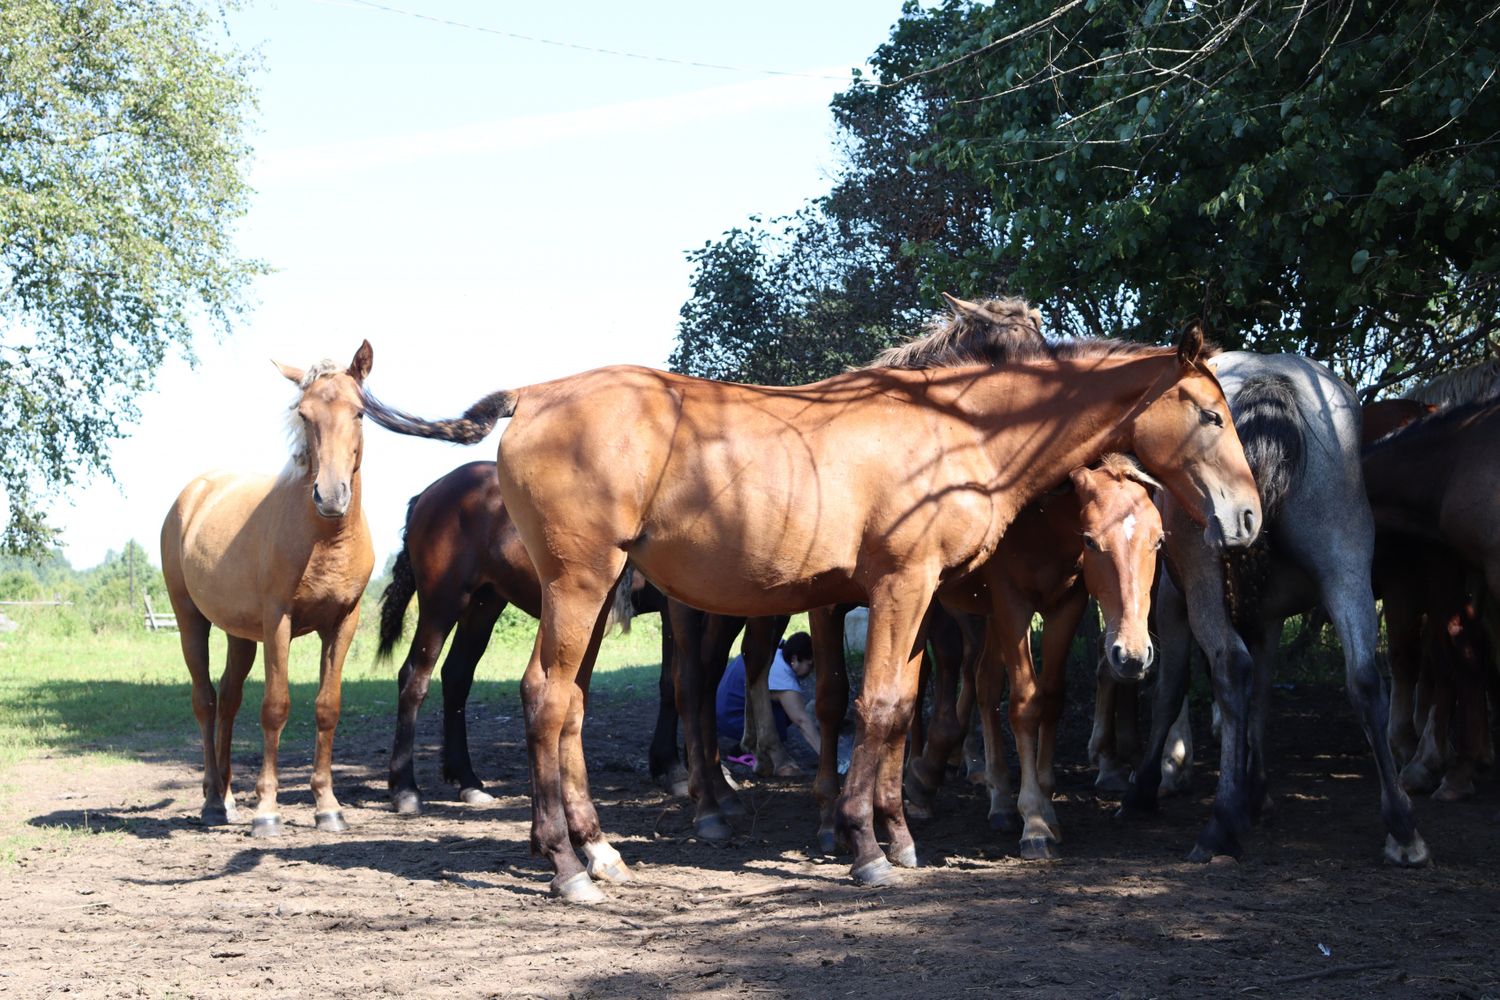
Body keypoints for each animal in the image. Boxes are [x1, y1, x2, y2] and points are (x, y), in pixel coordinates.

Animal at [159, 344, 375, 839]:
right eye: (303, 414)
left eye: (359, 412)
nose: (330, 496)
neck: (324, 538)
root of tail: (195, 493)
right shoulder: (279, 620)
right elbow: (276, 706)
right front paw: (267, 810)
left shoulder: (343, 622)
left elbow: (327, 707)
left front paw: (328, 806)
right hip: (189, 620)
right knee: (206, 700)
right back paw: (213, 804)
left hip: (239, 634)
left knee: (228, 699)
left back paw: (223, 797)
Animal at [375, 458, 681, 815]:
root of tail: (430, 491)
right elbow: (675, 683)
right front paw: (672, 768)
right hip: (442, 603)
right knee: (414, 678)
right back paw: (405, 789)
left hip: (484, 604)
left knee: (456, 677)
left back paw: (468, 781)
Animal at [1128, 352, 1428, 869]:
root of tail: (1268, 379)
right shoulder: (1268, 619)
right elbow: (1262, 696)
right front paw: (1255, 791)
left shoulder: (1171, 603)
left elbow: (1171, 690)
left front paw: (1148, 788)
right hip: (1345, 562)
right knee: (1365, 680)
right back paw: (1402, 826)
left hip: (1203, 578)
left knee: (1230, 666)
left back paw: (1219, 826)